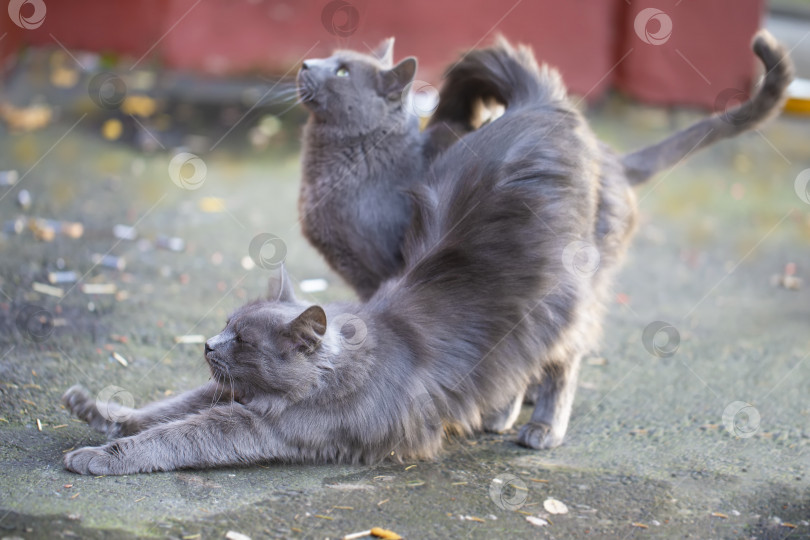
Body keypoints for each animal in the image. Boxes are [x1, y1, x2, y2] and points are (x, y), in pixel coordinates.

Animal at [61, 32, 788, 472]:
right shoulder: (225, 392)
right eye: (223, 327)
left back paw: (536, 427)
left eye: (241, 341)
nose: (208, 344)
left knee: (563, 362)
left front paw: (97, 456)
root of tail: (541, 108)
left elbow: (177, 435)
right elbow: (166, 406)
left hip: (561, 304)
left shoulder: (262, 429)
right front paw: (98, 412)